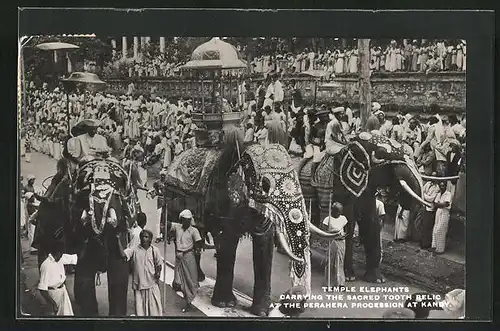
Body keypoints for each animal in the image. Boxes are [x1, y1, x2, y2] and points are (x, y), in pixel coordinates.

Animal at [164, 128, 336, 318]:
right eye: (265, 184)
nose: (297, 299)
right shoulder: (223, 200)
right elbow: (227, 242)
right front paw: (224, 304)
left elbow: (264, 242)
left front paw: (262, 312)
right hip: (173, 198)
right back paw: (180, 285)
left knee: (198, 237)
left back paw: (199, 278)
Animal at [296, 131, 434, 284]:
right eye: (382, 154)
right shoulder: (341, 185)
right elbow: (348, 224)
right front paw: (349, 277)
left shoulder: (367, 191)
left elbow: (371, 222)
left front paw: (378, 280)